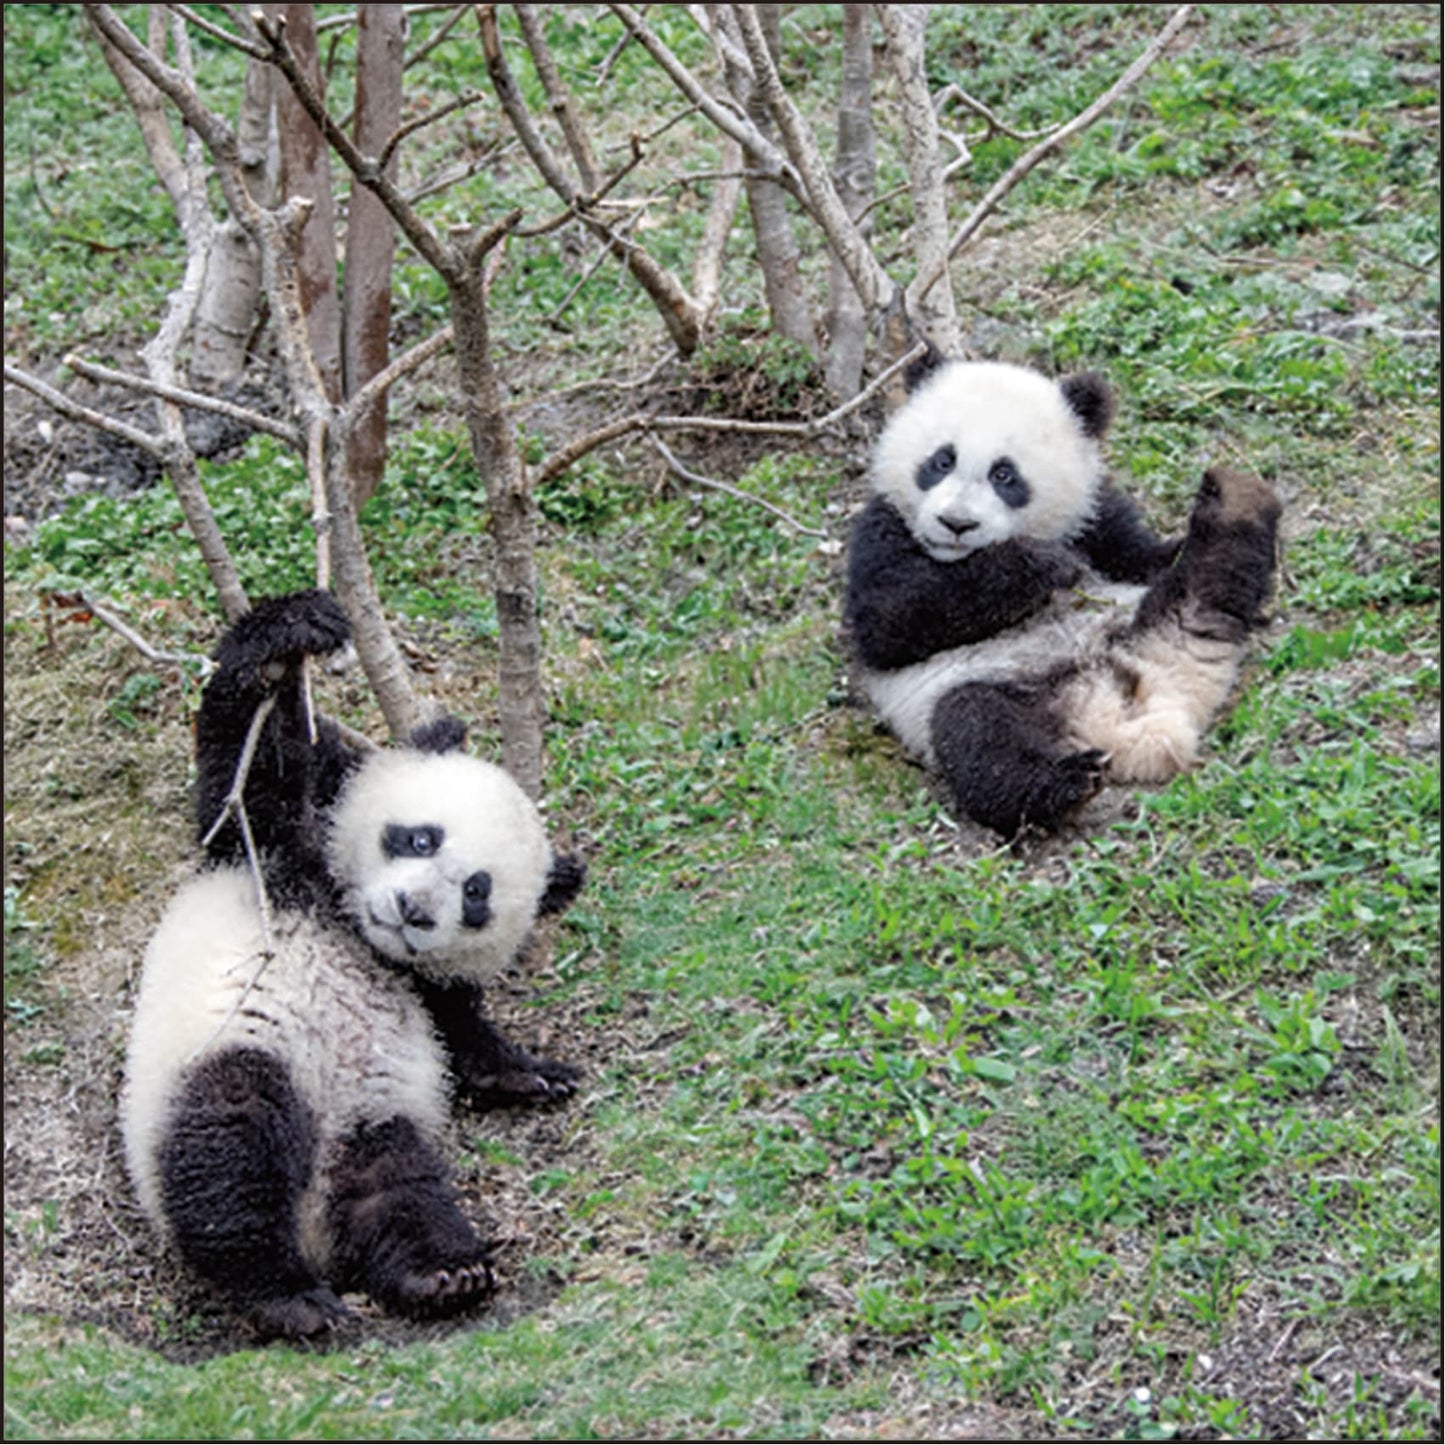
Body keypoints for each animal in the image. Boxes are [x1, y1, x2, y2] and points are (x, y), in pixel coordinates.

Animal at [120, 590, 586, 1339]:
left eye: (475, 893)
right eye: (420, 837)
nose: (412, 909)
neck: (355, 928)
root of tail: (312, 1223)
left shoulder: (424, 984)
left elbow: (464, 1036)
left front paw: (534, 1073)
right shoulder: (276, 853)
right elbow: (246, 773)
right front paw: (290, 637)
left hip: (374, 1118)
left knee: (400, 1190)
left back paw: (444, 1273)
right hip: (229, 1061)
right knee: (227, 1153)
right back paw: (285, 1293)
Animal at [845, 352, 1281, 837]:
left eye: (1004, 474)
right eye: (942, 461)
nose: (956, 523)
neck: (961, 557)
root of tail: (1133, 720)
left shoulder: (1093, 516)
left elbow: (1141, 555)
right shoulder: (882, 528)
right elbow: (890, 621)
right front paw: (1039, 563)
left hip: (1143, 621)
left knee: (1207, 580)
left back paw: (1236, 501)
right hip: (1003, 690)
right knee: (976, 733)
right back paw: (1067, 781)